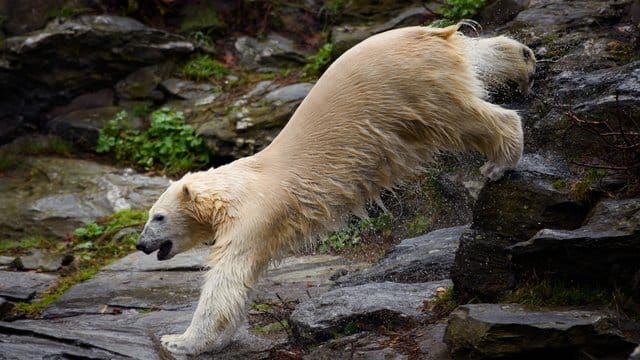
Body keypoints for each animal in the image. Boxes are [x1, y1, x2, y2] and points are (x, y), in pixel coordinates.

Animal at [138, 24, 536, 354]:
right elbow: (242, 283)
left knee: (462, 117)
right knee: (479, 58)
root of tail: (432, 34)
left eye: (157, 217)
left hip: (412, 87)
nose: (141, 245)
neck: (241, 182)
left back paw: (500, 160)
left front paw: (179, 340)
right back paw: (523, 59)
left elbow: (226, 278)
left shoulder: (255, 215)